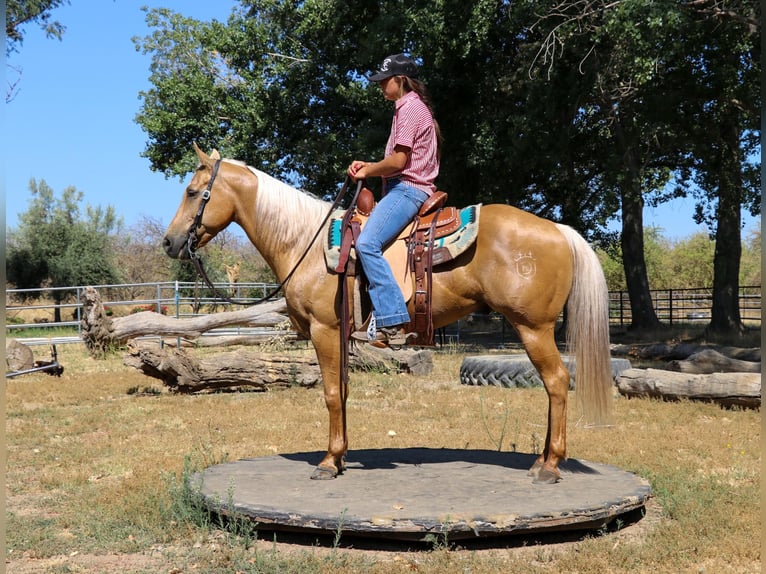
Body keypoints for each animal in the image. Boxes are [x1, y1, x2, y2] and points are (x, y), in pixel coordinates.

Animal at [163, 144, 613, 484]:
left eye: (192, 191)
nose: (169, 242)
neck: (304, 242)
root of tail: (559, 230)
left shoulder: (324, 330)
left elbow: (330, 394)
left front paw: (328, 463)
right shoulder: (339, 334)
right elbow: (342, 393)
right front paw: (341, 456)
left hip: (532, 327)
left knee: (557, 382)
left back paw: (550, 466)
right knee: (553, 386)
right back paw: (542, 460)